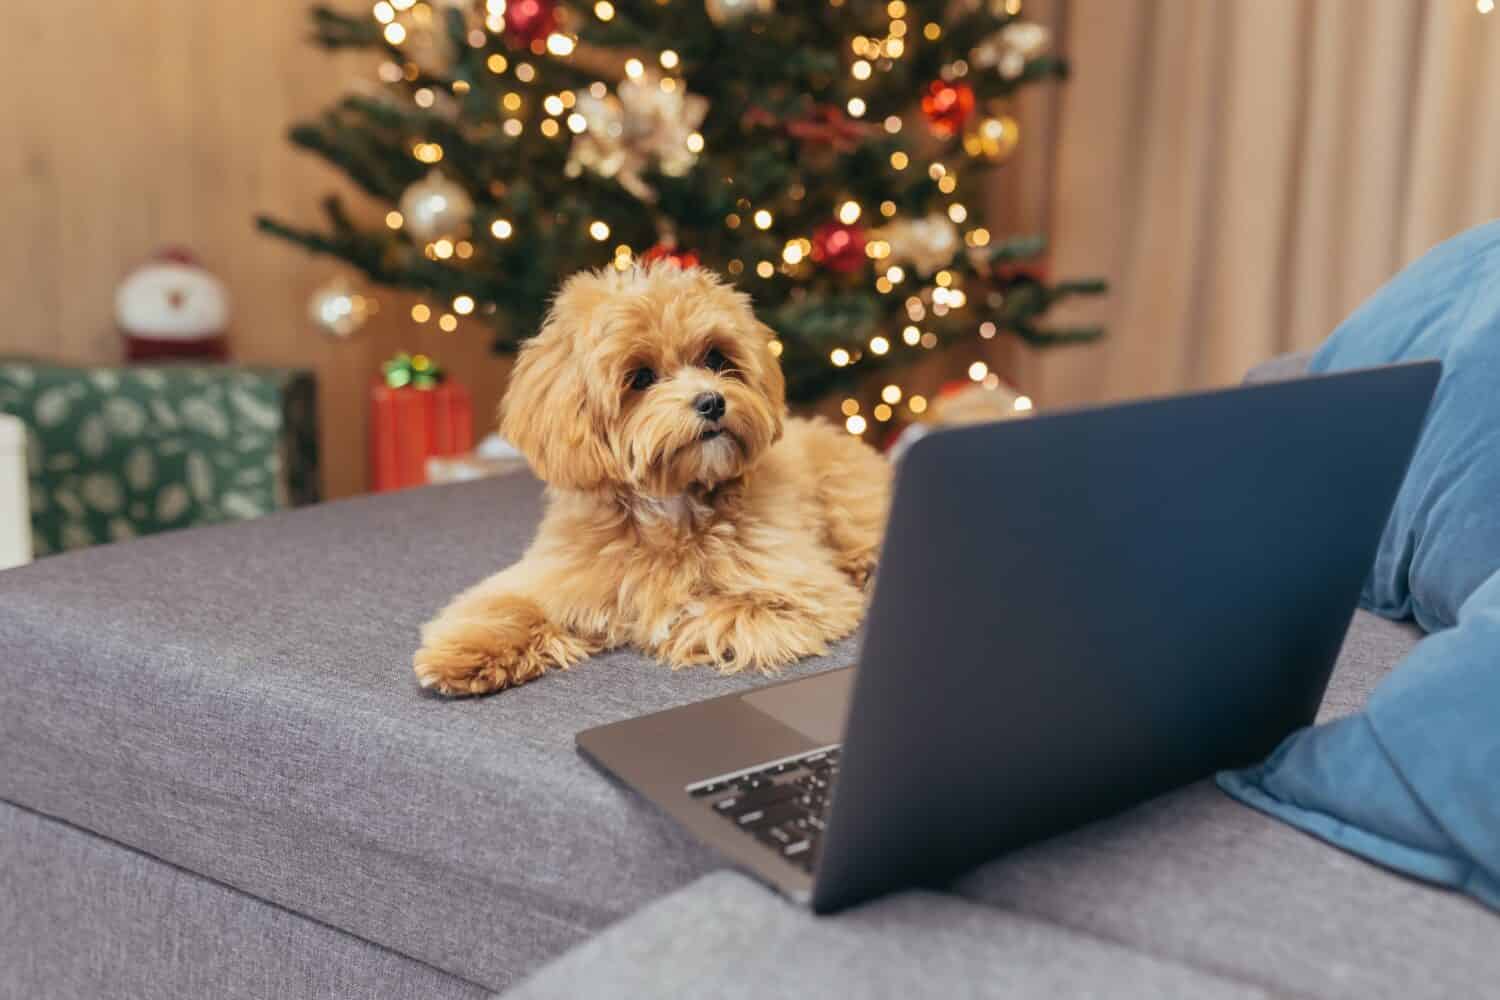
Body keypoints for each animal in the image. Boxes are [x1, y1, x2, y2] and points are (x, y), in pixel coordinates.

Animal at [411, 263, 888, 695]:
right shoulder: (555, 576)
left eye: (715, 358)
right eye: (641, 377)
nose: (712, 402)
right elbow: (506, 605)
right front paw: (466, 653)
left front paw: (668, 624)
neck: (670, 510)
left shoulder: (802, 592)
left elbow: (723, 611)